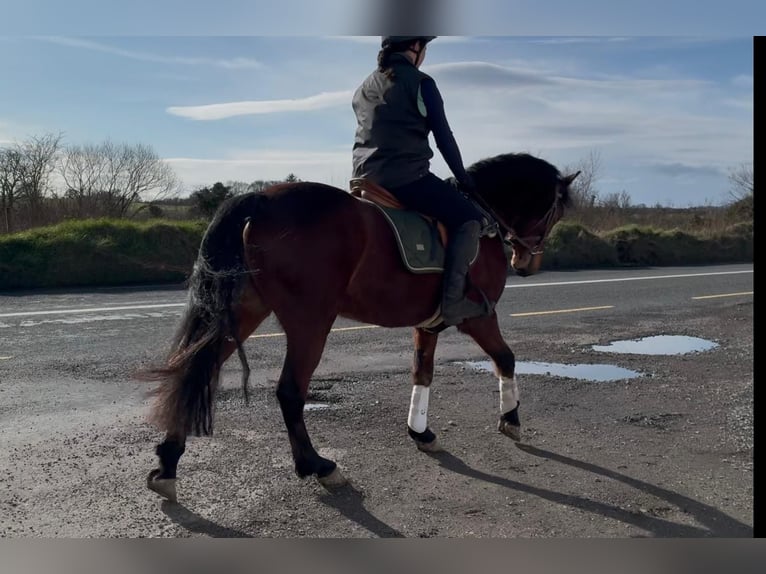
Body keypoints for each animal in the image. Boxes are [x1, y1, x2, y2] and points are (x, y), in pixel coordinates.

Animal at [140, 152, 578, 502]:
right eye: (554, 211)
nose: (527, 264)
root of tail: (262, 199)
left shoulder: (427, 326)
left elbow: (422, 373)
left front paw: (421, 433)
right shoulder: (479, 317)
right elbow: (506, 358)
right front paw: (511, 420)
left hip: (247, 310)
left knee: (199, 367)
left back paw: (168, 464)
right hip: (311, 321)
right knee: (289, 392)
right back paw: (317, 465)